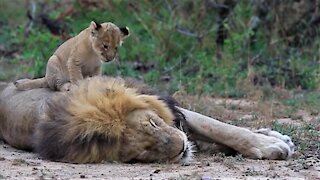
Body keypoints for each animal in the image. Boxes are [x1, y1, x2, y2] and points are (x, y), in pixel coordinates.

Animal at [0, 76, 294, 163]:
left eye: (152, 122)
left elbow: (221, 128)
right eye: (141, 154)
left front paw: (269, 144)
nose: (182, 149)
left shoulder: (171, 109)